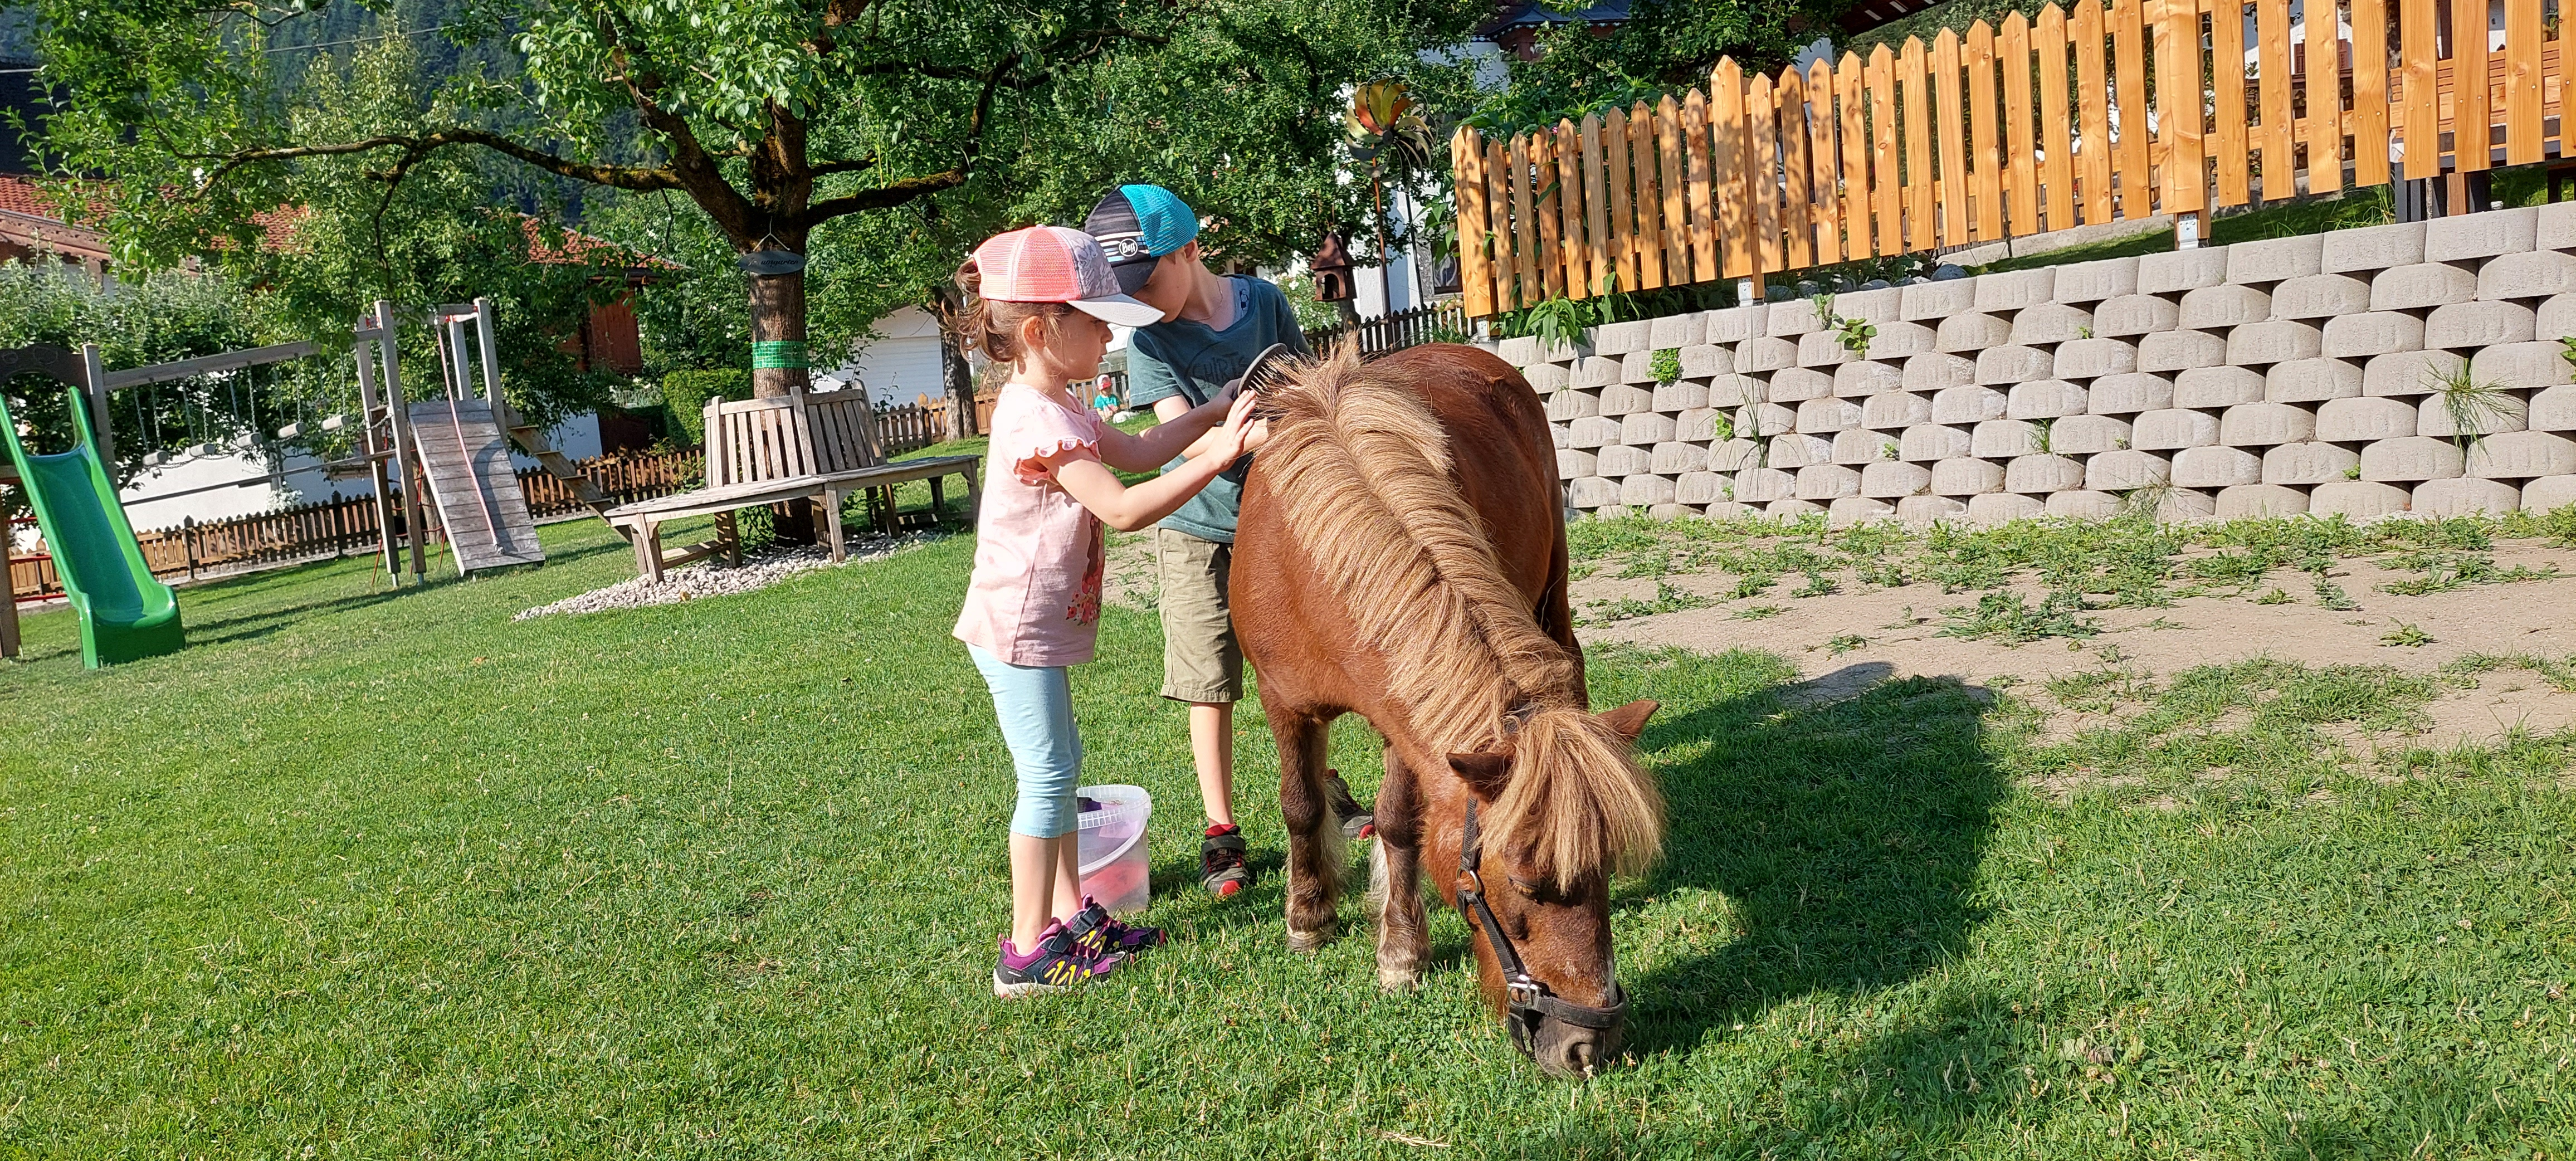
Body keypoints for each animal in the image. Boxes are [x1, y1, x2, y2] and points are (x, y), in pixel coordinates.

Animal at [1232, 342, 1664, 1078]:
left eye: (1606, 867)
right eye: (1521, 882)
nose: (1587, 1046)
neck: (1312, 558)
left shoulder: (1403, 722)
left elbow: (1398, 821)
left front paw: (1400, 948)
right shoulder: (1282, 700)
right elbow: (1299, 803)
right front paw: (1309, 916)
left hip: (1553, 588)